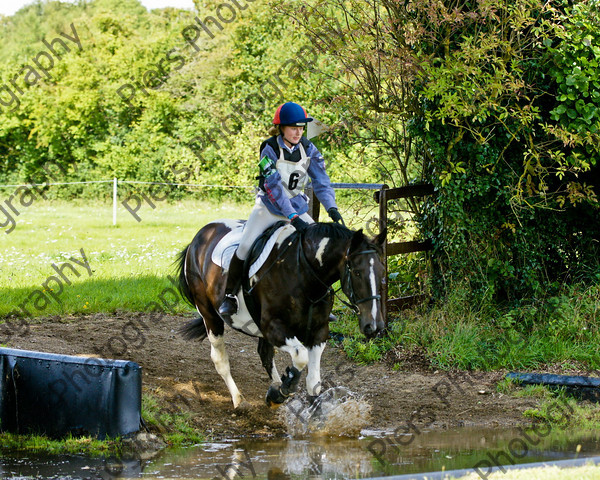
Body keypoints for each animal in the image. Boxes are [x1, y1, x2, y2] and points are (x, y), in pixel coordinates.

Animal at [176, 219, 386, 406]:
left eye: (382, 272)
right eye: (357, 272)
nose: (374, 326)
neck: (304, 275)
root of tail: (201, 234)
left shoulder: (319, 331)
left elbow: (314, 382)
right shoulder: (274, 328)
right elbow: (300, 356)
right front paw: (283, 390)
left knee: (266, 355)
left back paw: (275, 388)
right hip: (209, 315)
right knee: (220, 360)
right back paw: (239, 400)